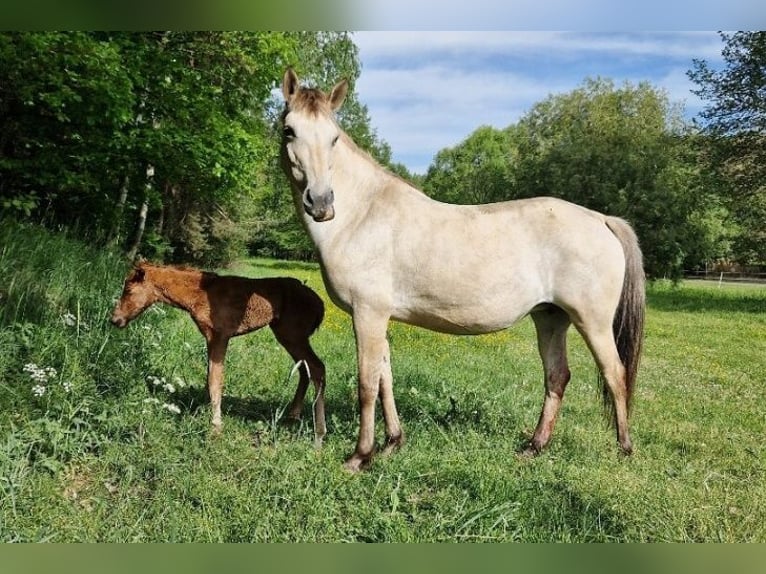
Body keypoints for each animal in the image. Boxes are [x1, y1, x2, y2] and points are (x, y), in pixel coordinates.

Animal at [110, 261, 327, 446]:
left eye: (128, 290)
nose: (115, 320)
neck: (197, 295)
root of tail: (320, 306)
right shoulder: (211, 338)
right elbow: (209, 379)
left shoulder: (220, 336)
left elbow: (215, 381)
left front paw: (215, 428)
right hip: (287, 336)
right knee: (305, 370)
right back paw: (293, 416)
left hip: (293, 336)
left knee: (317, 368)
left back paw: (318, 436)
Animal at [279, 67, 645, 471]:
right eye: (289, 131)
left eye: (333, 138)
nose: (321, 203)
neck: (362, 214)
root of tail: (601, 219)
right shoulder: (378, 316)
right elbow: (385, 379)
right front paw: (392, 442)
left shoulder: (367, 313)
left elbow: (367, 384)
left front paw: (361, 456)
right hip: (550, 317)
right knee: (557, 376)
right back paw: (534, 446)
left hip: (592, 322)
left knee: (615, 374)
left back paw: (625, 448)